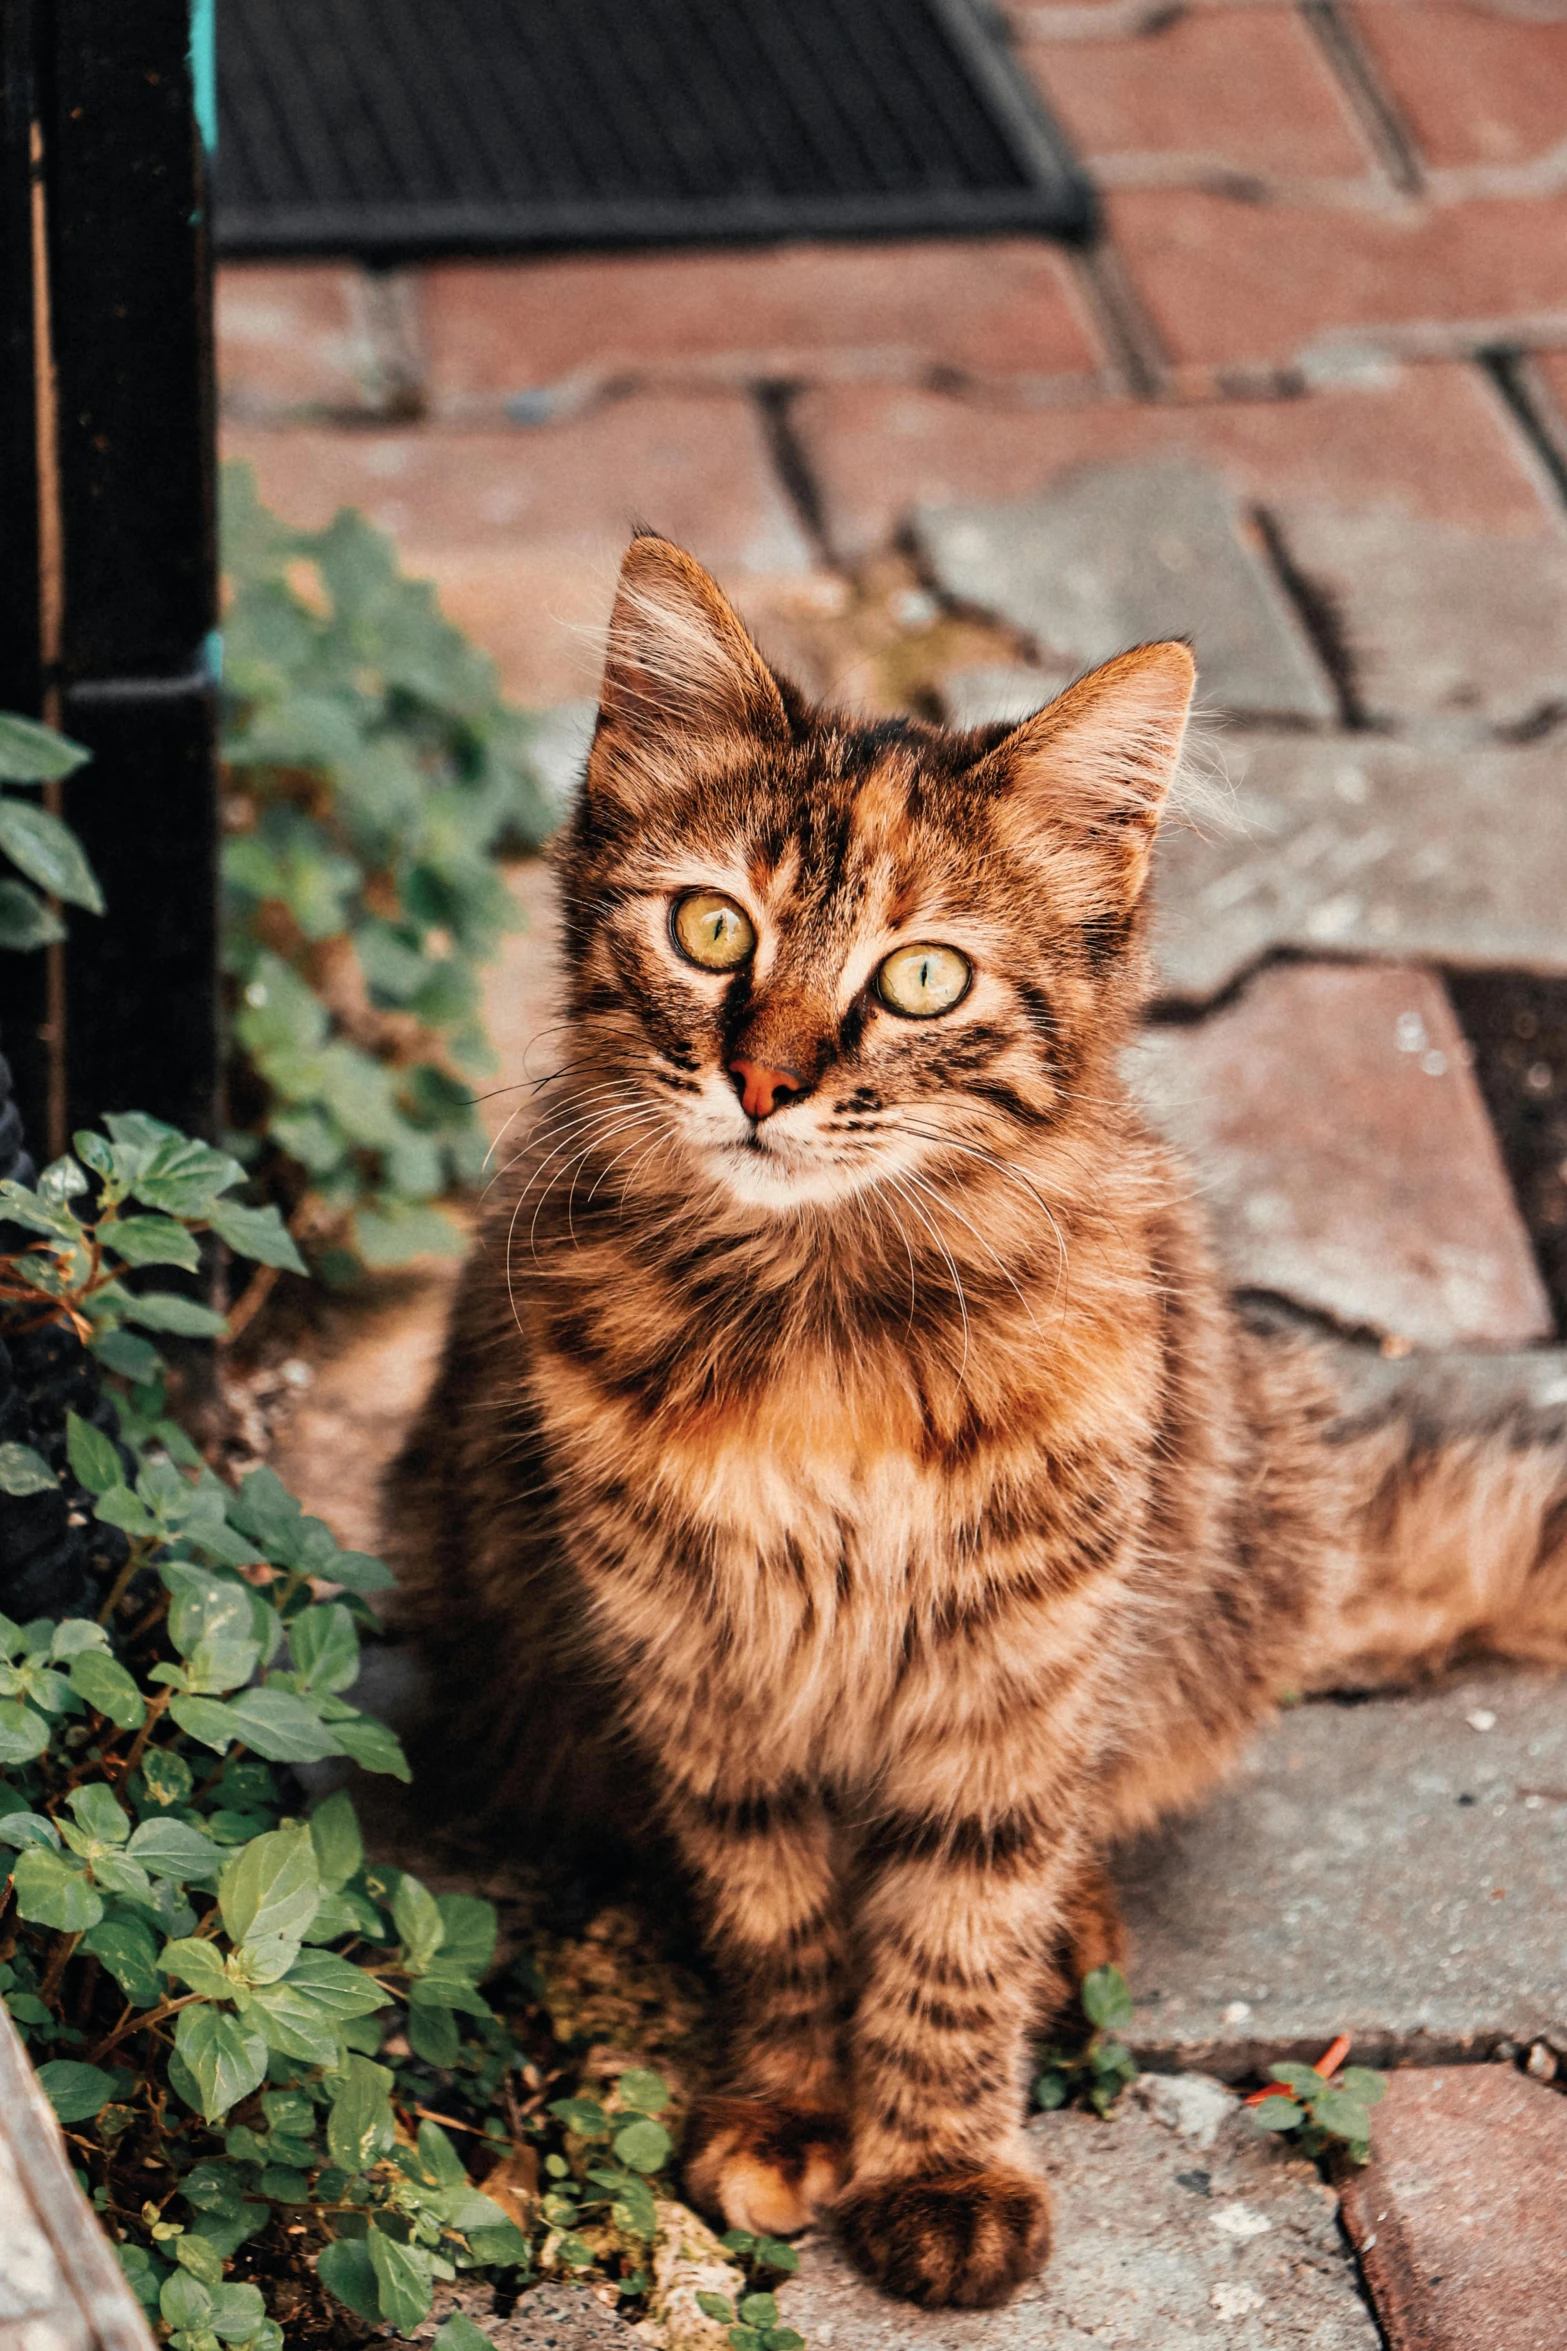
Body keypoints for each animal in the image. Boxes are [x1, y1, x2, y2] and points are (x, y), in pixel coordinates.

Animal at [385, 533, 1567, 2313]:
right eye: (710, 927)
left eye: (921, 976)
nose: (764, 1084)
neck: (820, 1327)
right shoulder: (708, 1673)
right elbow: (784, 1920)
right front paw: (793, 2107)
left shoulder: (1013, 1667)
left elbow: (952, 1932)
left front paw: (939, 2164)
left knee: (1088, 1824)